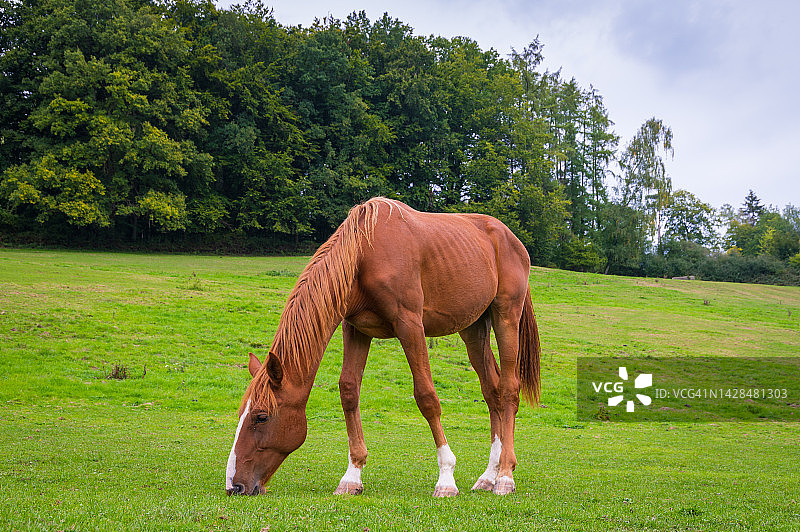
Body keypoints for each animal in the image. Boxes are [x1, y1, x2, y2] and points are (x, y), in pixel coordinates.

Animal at [225, 197, 540, 497]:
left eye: (261, 416)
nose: (234, 485)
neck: (363, 255)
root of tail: (511, 238)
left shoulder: (410, 325)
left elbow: (427, 396)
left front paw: (446, 479)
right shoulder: (355, 328)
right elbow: (349, 392)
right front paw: (351, 477)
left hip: (505, 316)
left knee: (508, 390)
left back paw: (505, 476)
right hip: (473, 329)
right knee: (492, 391)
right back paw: (488, 476)